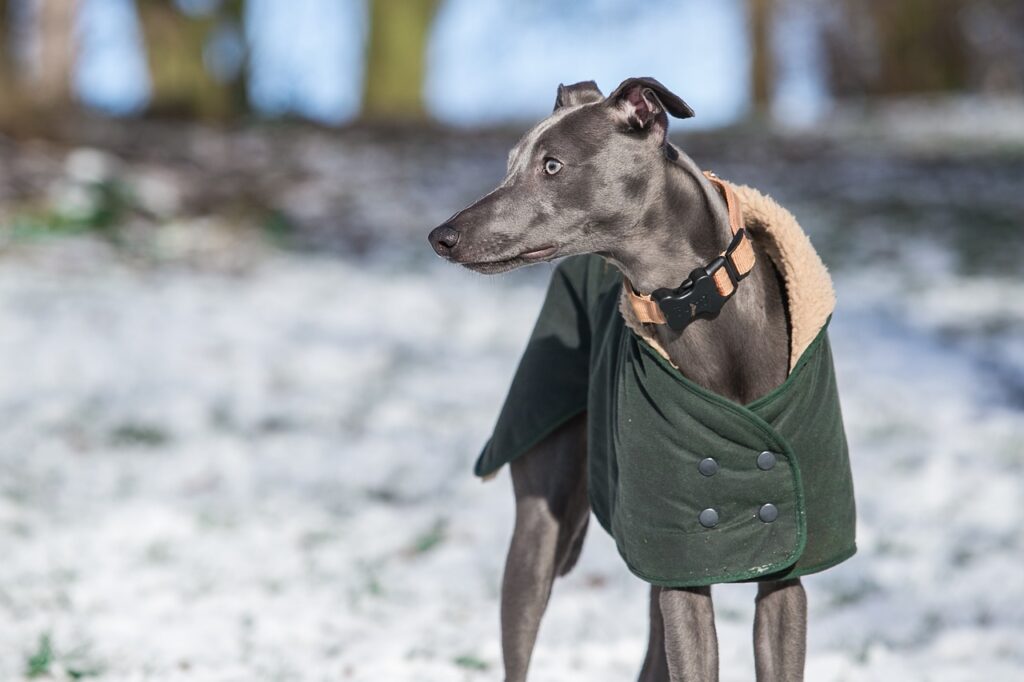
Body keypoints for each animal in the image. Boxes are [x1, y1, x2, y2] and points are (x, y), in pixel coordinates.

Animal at [428, 78, 802, 679]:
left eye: (552, 165)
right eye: (511, 164)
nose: (442, 236)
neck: (697, 305)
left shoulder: (784, 569)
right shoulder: (680, 564)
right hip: (541, 529)